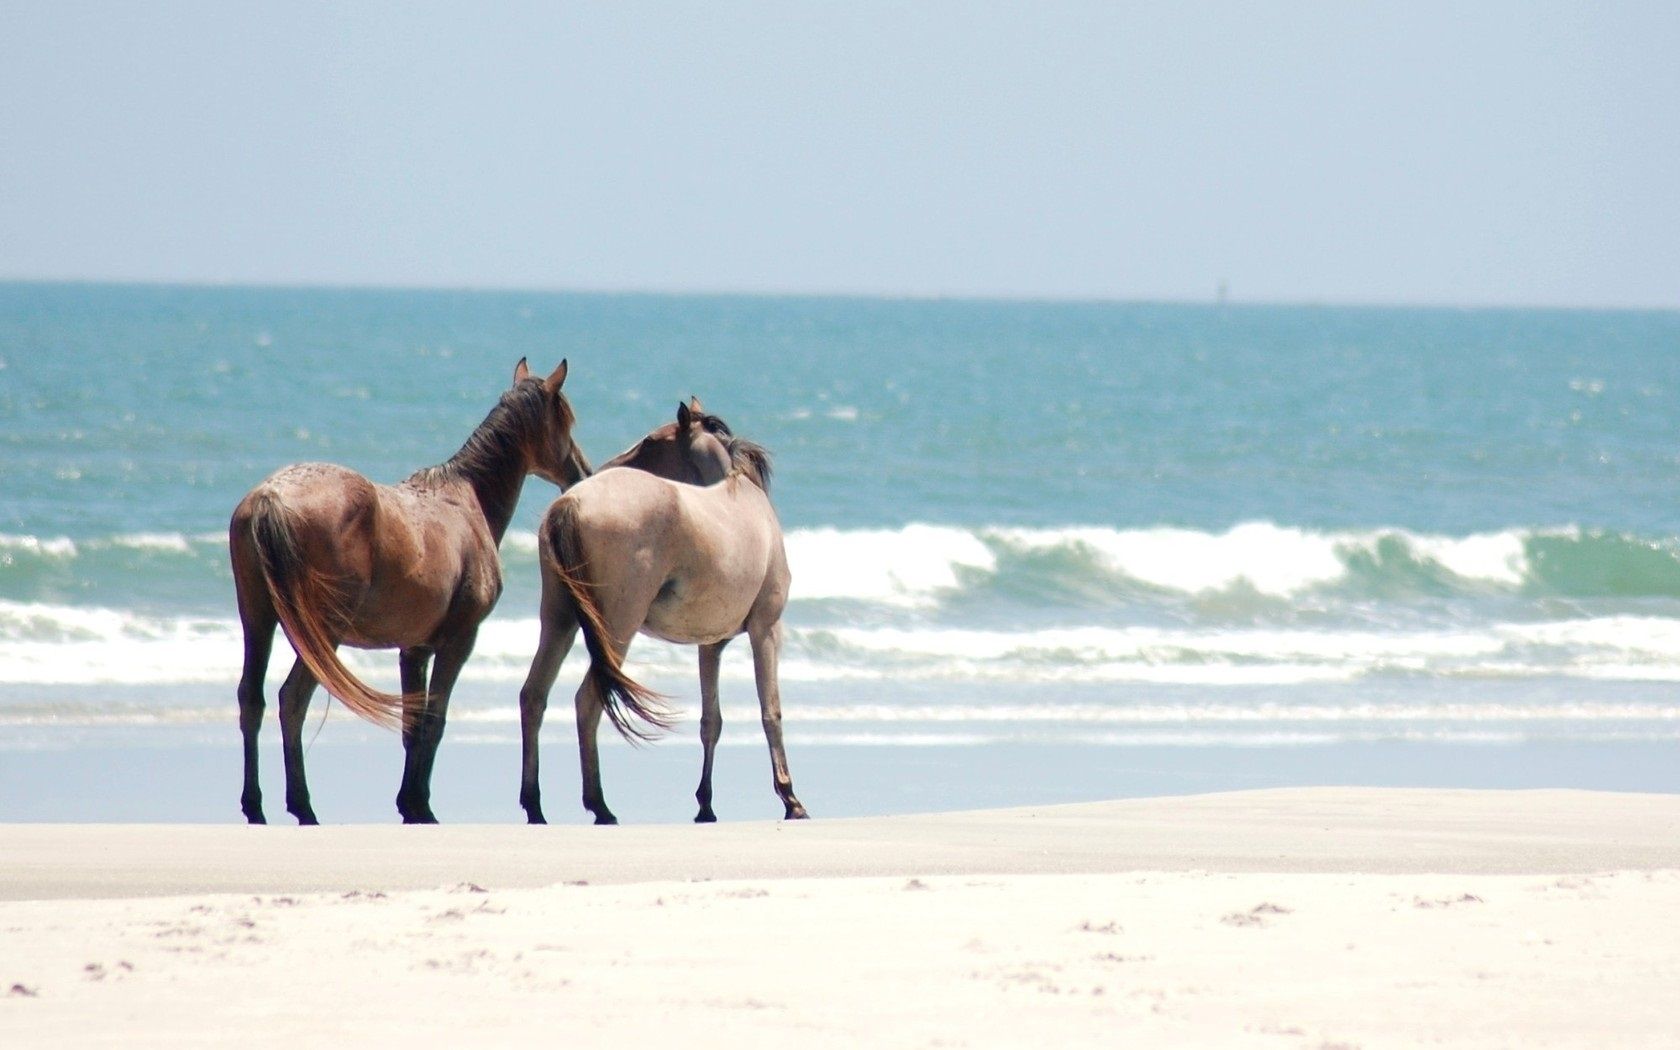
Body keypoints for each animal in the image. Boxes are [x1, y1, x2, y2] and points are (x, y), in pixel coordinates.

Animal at [230, 359, 584, 826]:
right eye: (565, 420)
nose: (581, 473)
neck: (465, 500)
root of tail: (271, 497)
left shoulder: (413, 649)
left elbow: (412, 725)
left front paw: (409, 803)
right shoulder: (458, 641)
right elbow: (434, 718)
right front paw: (421, 805)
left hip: (257, 620)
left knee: (251, 700)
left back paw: (255, 807)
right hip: (322, 634)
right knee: (293, 700)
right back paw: (303, 806)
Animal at [517, 396, 813, 823]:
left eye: (650, 441)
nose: (591, 469)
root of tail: (570, 503)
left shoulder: (711, 645)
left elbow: (711, 721)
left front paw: (705, 805)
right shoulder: (766, 630)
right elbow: (770, 711)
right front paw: (791, 799)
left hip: (559, 622)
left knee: (533, 697)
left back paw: (535, 806)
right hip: (616, 629)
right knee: (588, 701)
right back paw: (600, 806)